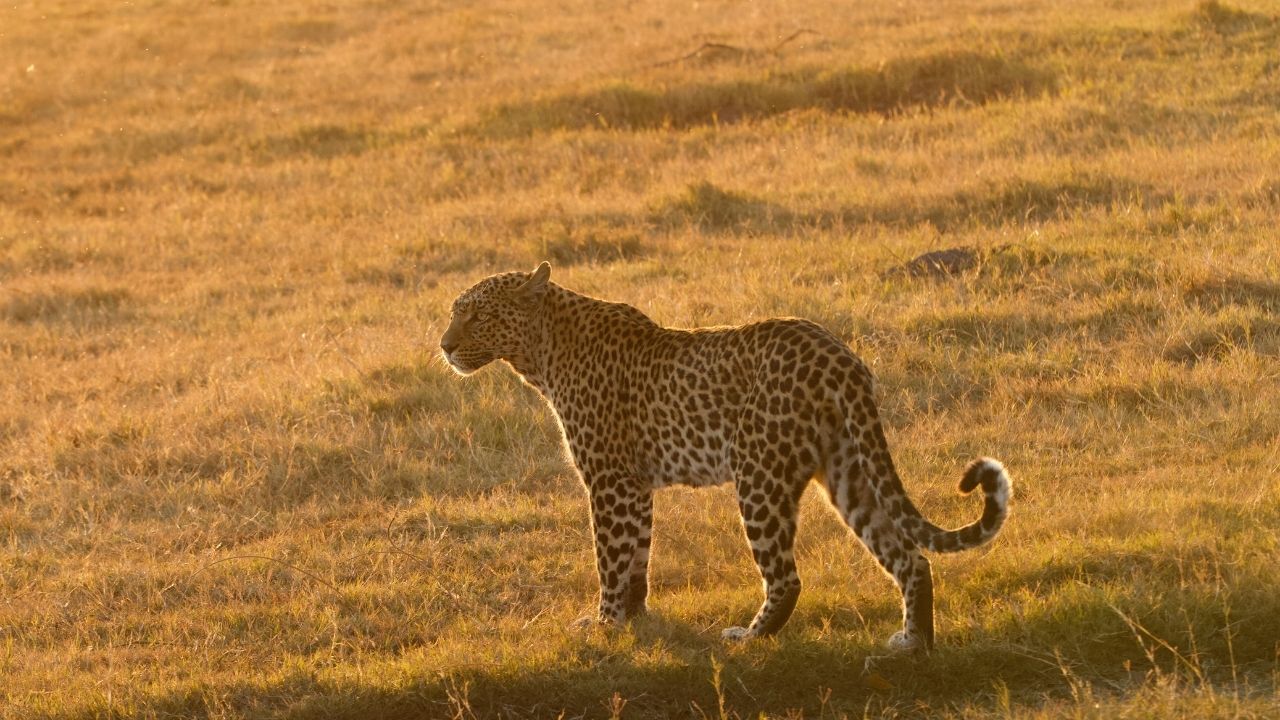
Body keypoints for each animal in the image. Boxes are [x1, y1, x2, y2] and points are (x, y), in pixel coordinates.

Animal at [440, 262, 1011, 651]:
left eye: (478, 314)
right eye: (455, 313)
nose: (444, 345)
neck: (541, 355)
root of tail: (840, 357)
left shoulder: (610, 481)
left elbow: (610, 558)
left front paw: (603, 626)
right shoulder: (635, 486)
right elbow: (637, 558)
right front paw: (635, 622)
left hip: (758, 474)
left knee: (786, 576)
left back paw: (747, 639)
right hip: (849, 470)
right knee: (910, 557)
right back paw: (913, 644)